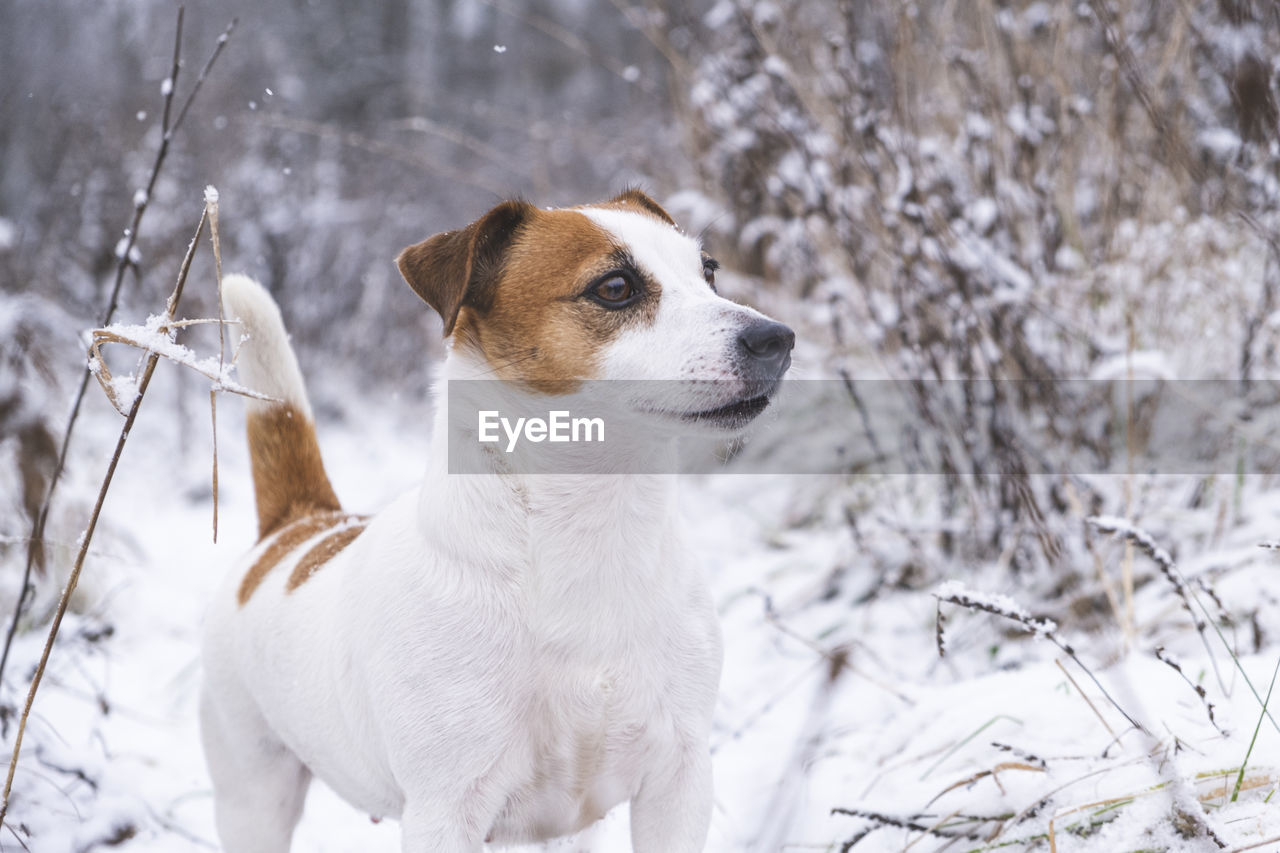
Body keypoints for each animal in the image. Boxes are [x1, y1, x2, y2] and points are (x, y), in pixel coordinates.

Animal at [200, 189, 793, 845]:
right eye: (615, 287)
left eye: (709, 272)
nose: (777, 338)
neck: (591, 525)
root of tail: (299, 523)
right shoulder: (446, 811)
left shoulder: (678, 781)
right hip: (254, 793)